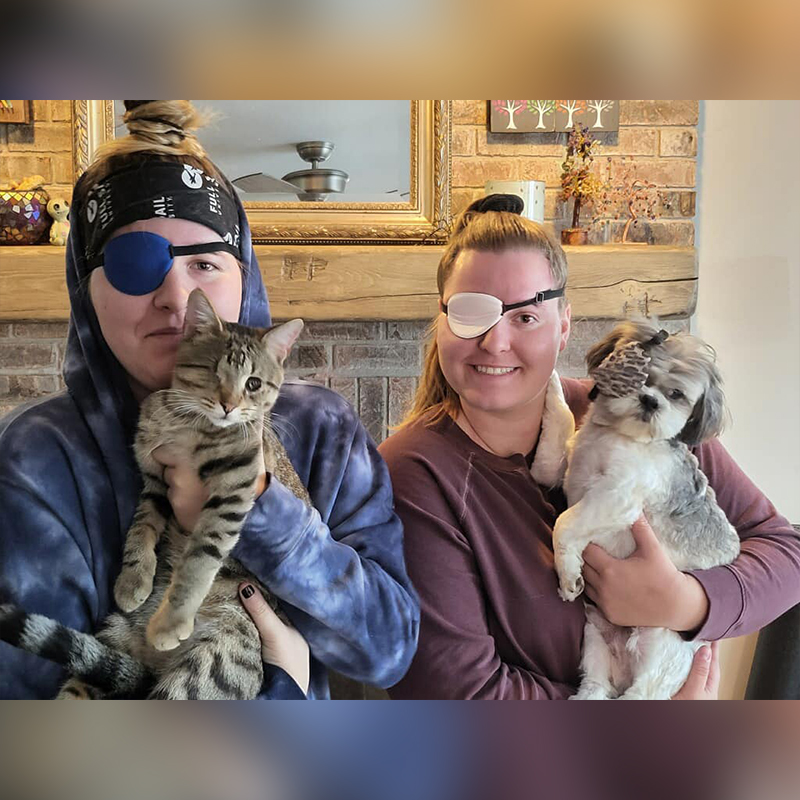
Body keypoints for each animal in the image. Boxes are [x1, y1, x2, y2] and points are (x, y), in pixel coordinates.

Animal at [0, 290, 310, 696]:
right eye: (212, 371)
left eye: (254, 383)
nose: (228, 405)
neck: (186, 421)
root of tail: (152, 668)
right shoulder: (155, 482)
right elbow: (141, 529)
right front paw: (133, 580)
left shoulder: (234, 489)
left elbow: (199, 560)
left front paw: (171, 621)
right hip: (113, 640)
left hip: (211, 665)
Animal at [552, 320, 740, 700]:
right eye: (639, 377)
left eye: (677, 395)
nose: (650, 400)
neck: (617, 436)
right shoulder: (574, 475)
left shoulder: (616, 496)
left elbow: (564, 524)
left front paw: (567, 572)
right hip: (595, 639)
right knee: (596, 685)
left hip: (659, 642)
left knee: (641, 693)